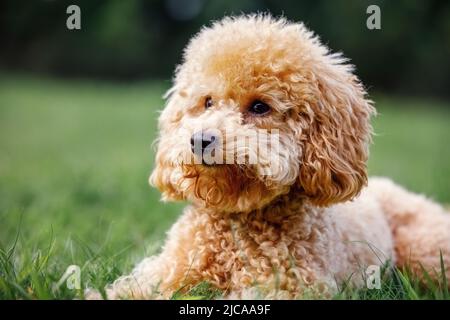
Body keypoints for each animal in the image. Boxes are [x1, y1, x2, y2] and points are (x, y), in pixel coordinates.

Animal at [89, 15, 448, 300]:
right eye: (207, 102)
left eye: (260, 107)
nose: (199, 140)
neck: (237, 224)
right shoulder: (168, 272)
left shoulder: (291, 286)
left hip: (427, 253)